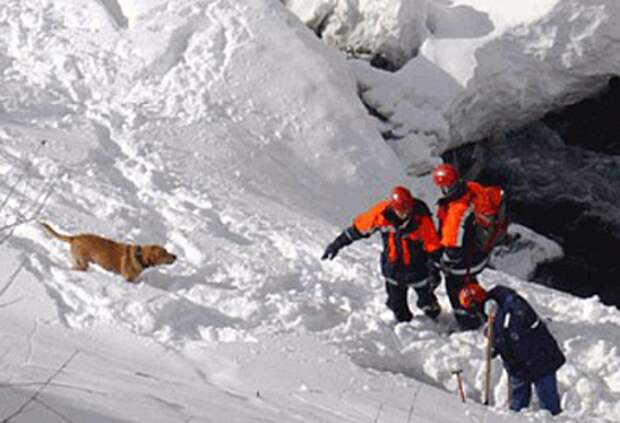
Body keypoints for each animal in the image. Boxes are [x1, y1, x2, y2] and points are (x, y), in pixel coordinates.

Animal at [41, 224, 177, 284]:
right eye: (165, 253)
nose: (175, 256)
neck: (139, 256)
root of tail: (74, 237)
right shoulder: (127, 278)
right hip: (83, 262)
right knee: (78, 268)